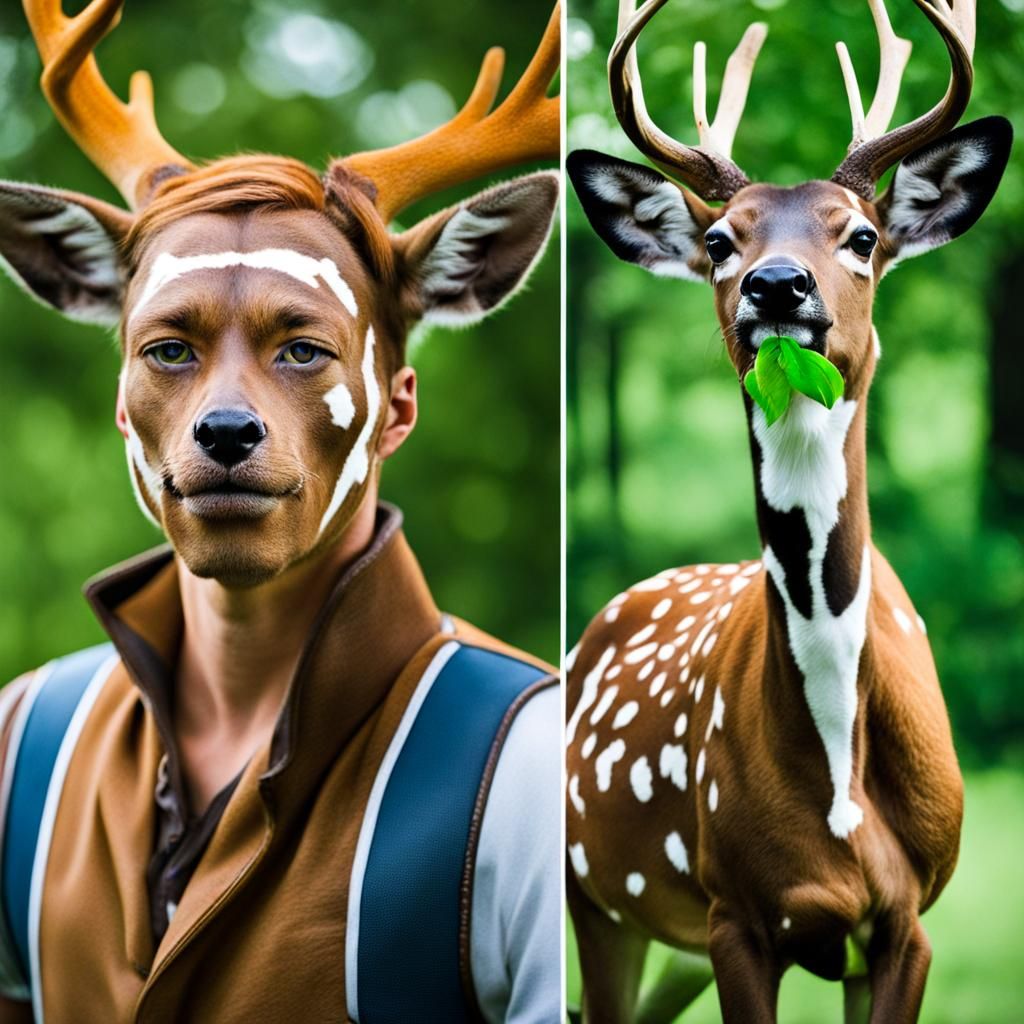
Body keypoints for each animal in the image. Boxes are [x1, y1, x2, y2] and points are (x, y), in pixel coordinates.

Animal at [565, 0, 1010, 1021]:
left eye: (861, 236)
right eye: (721, 240)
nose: (778, 285)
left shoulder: (905, 927)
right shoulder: (737, 912)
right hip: (603, 899)